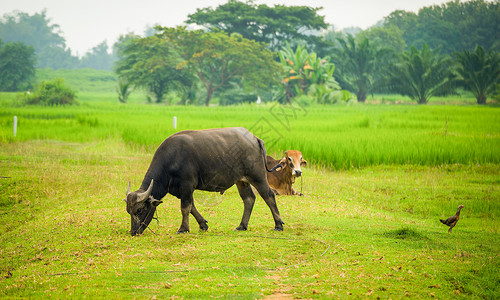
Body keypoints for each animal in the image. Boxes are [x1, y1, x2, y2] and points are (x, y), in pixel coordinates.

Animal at [123, 126, 284, 234]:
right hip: (241, 181)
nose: (134, 232)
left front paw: (183, 228)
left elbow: (185, 208)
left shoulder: (187, 185)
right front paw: (203, 225)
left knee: (269, 196)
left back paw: (278, 225)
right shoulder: (182, 190)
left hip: (258, 177)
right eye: (128, 211)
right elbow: (192, 207)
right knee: (249, 199)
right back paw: (242, 226)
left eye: (139, 210)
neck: (172, 160)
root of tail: (255, 139)